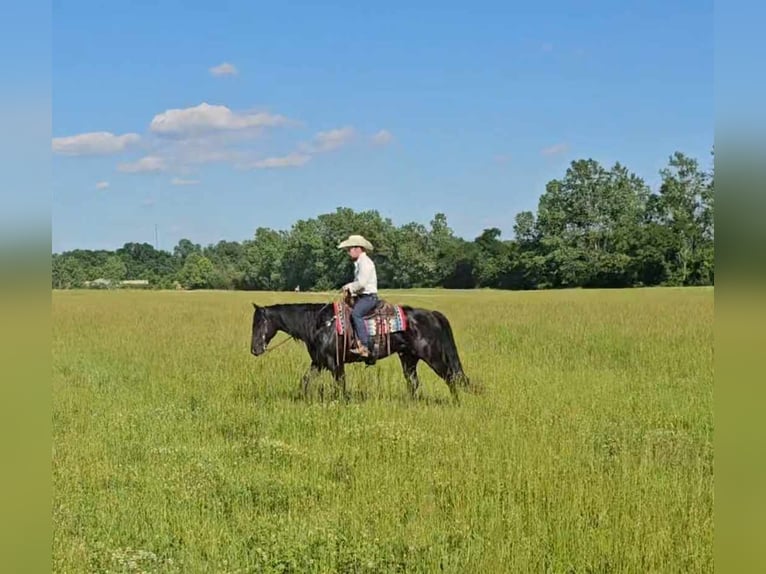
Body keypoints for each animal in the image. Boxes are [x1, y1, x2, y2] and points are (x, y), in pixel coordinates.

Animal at [249, 297, 470, 401]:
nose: (254, 349)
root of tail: (432, 314)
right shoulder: (318, 362)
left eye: (259, 323)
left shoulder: (335, 363)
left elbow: (340, 385)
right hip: (408, 358)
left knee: (451, 378)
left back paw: (456, 402)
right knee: (414, 383)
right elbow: (304, 381)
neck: (321, 324)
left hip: (433, 356)